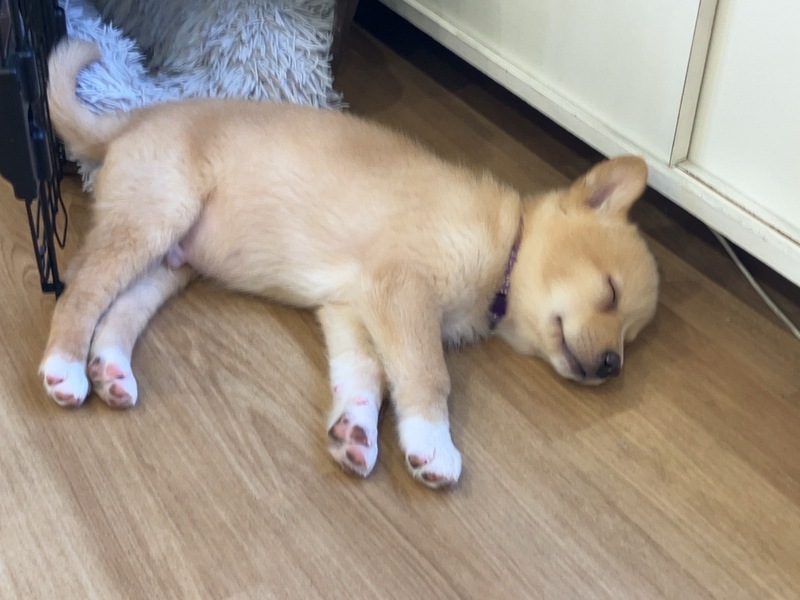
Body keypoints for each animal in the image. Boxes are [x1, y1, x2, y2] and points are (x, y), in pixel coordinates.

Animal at [40, 39, 659, 488]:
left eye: (630, 335)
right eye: (609, 292)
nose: (611, 367)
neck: (506, 244)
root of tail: (131, 121)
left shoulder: (352, 311)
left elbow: (365, 377)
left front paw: (357, 432)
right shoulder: (402, 292)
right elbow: (428, 375)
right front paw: (433, 444)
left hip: (169, 263)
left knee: (119, 310)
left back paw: (112, 371)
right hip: (152, 221)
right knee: (81, 294)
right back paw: (64, 369)